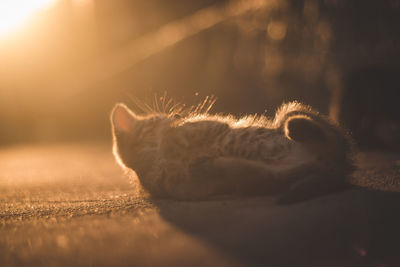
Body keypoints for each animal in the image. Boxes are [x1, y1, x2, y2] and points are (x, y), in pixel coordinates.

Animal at [111, 99, 354, 204]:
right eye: (155, 119)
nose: (176, 116)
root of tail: (340, 169)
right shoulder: (180, 187)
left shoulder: (215, 125)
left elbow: (180, 134)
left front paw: (177, 132)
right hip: (307, 169)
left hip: (290, 111)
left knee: (332, 136)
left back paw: (296, 126)